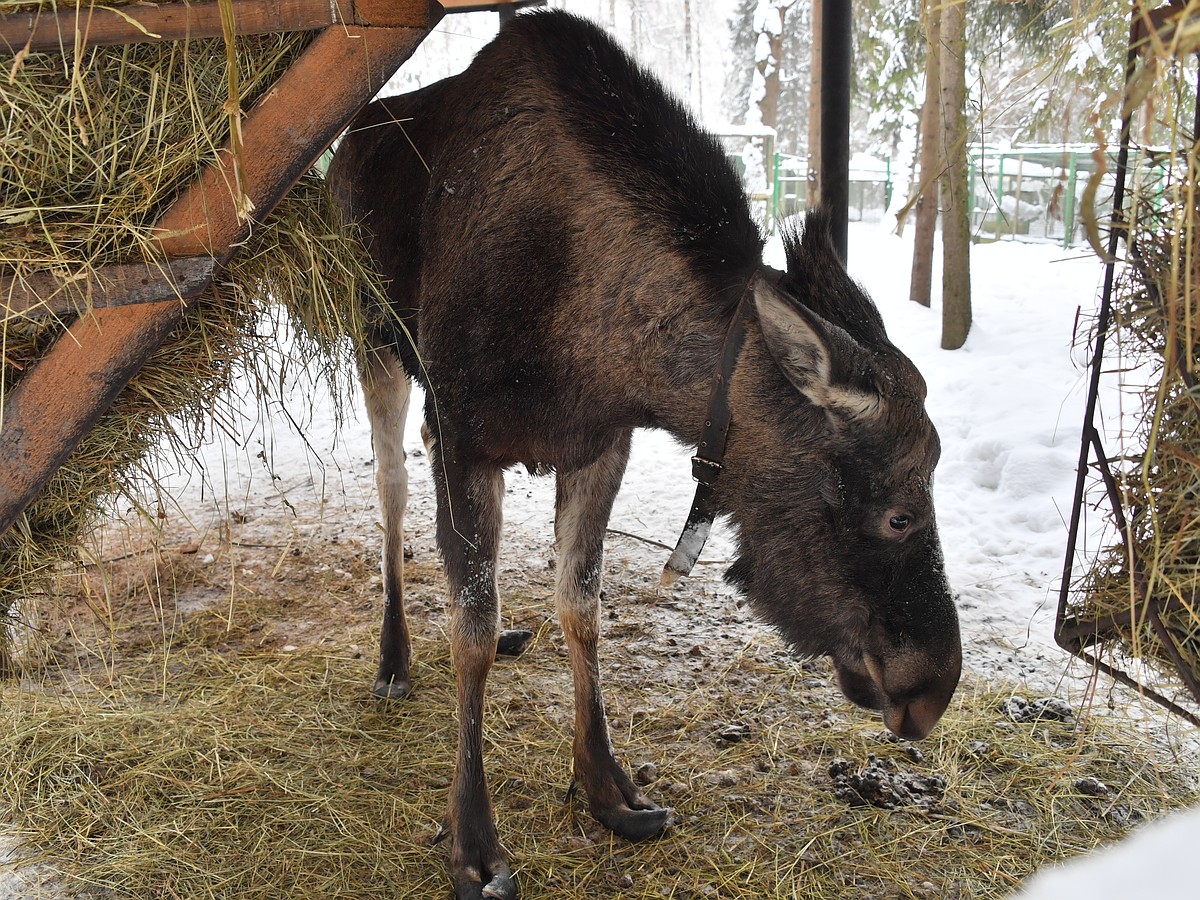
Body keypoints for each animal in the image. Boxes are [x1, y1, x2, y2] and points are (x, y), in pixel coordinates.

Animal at [324, 8, 960, 900]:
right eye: (900, 511)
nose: (934, 687)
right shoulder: (469, 437)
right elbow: (471, 632)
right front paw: (475, 841)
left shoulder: (597, 444)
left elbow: (580, 607)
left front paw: (608, 788)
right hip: (372, 340)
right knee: (389, 490)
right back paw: (393, 658)